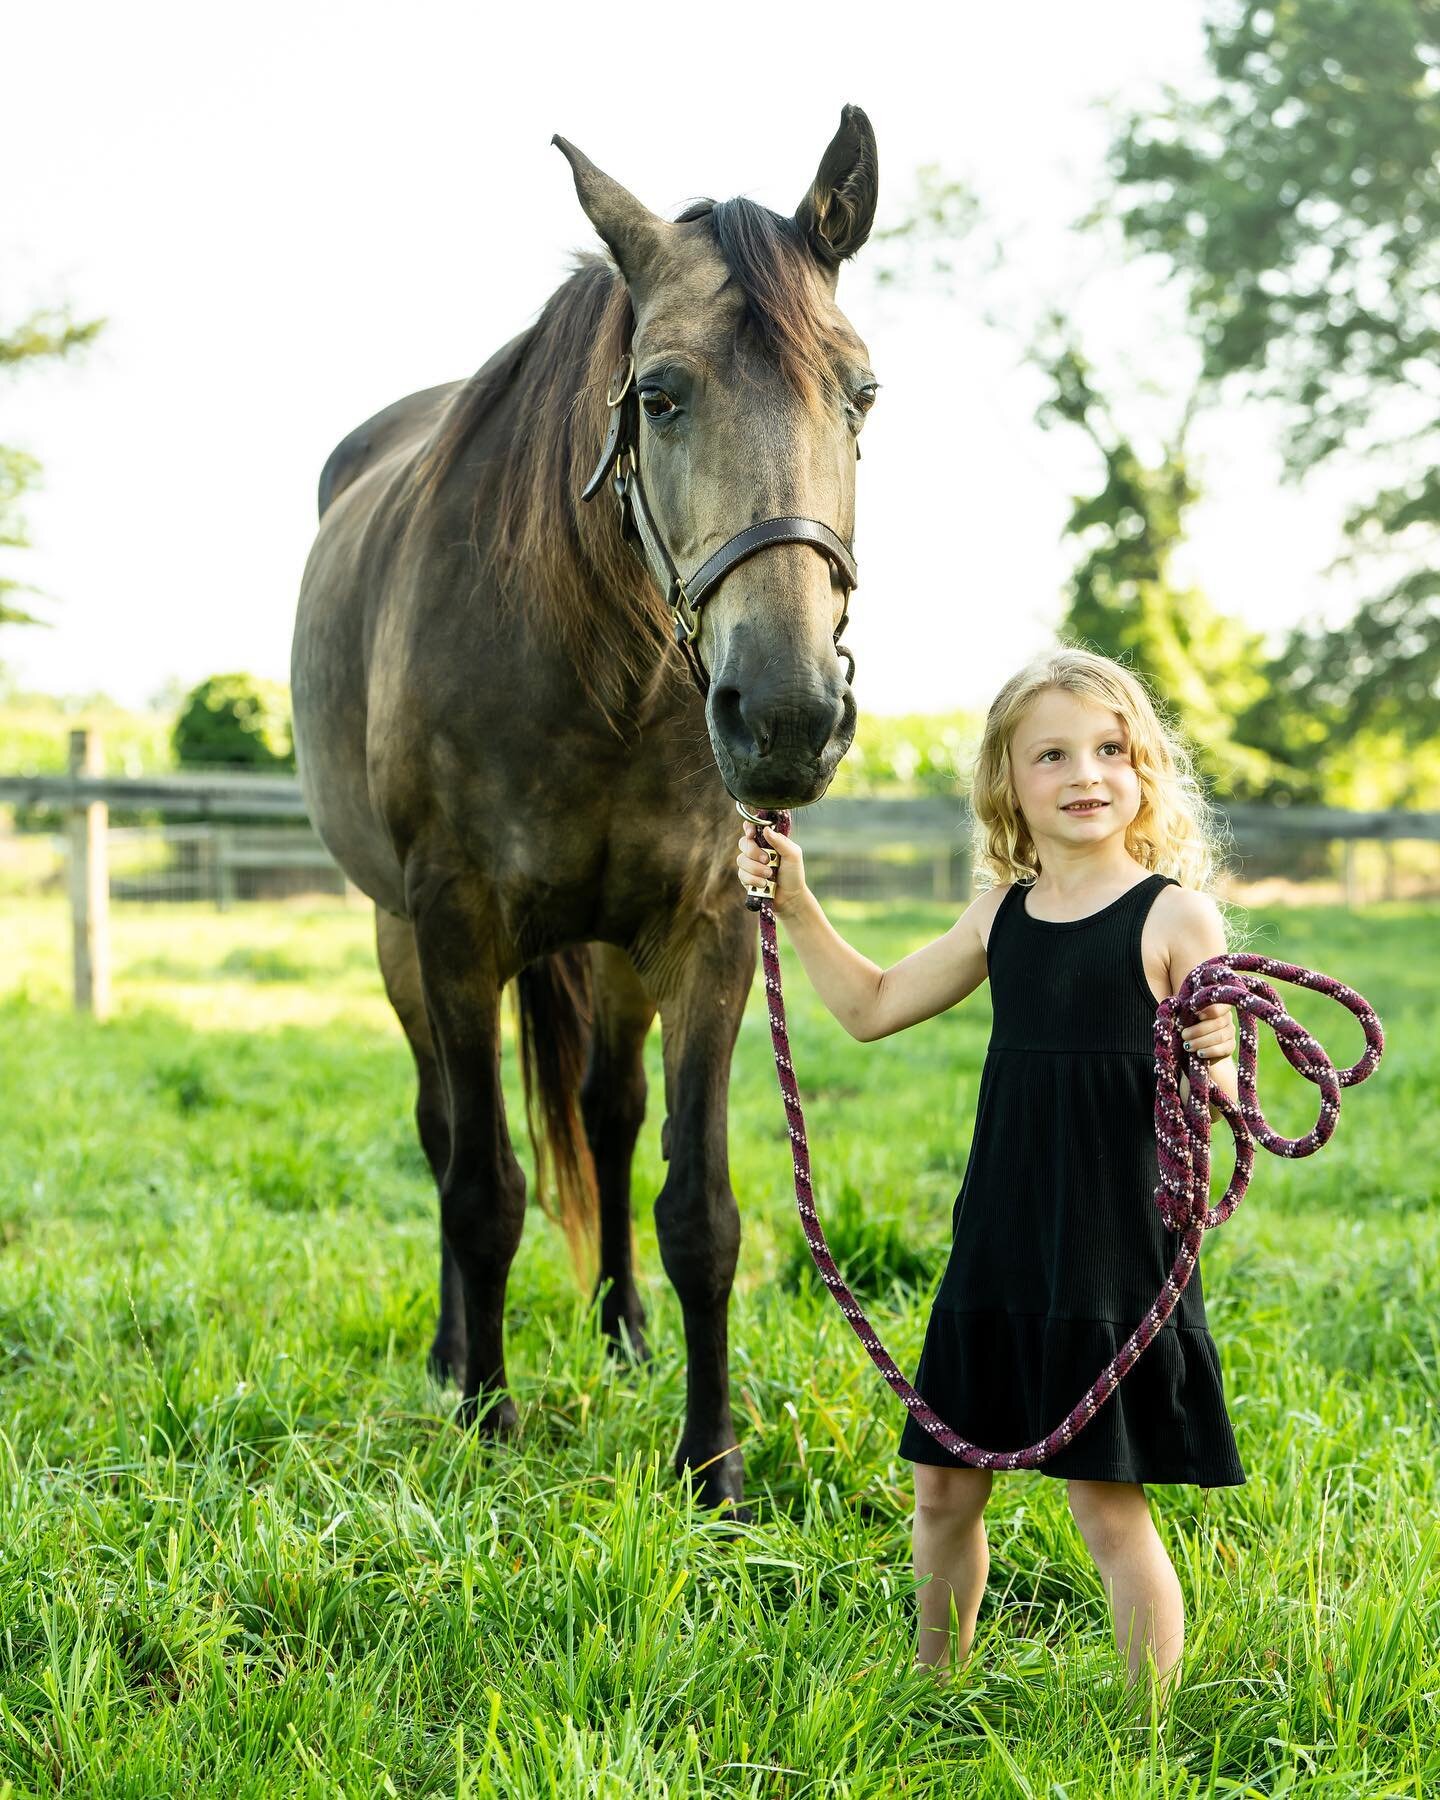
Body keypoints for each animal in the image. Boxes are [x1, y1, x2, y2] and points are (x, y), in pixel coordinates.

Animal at [291, 105, 878, 1512]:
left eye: (861, 395)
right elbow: (481, 1188)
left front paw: (713, 1466)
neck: (594, 666)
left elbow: (699, 1210)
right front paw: (487, 1415)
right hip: (398, 938)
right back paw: (456, 1356)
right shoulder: (455, 929)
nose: (786, 714)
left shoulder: (707, 930)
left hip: (613, 954)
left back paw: (622, 1332)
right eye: (659, 396)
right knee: (445, 1131)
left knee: (608, 1127)